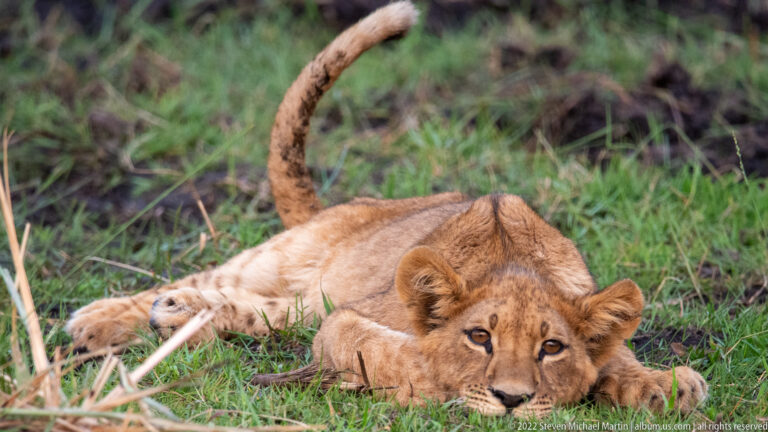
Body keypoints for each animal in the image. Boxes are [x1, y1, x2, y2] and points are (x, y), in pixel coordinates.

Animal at [66, 1, 707, 417]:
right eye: (480, 337)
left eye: (552, 348)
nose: (512, 399)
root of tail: (362, 203)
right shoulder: (346, 322)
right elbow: (391, 353)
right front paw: (442, 380)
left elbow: (619, 360)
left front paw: (665, 387)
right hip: (289, 256)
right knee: (211, 279)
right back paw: (106, 319)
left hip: (306, 300)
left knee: (265, 312)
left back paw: (182, 315)